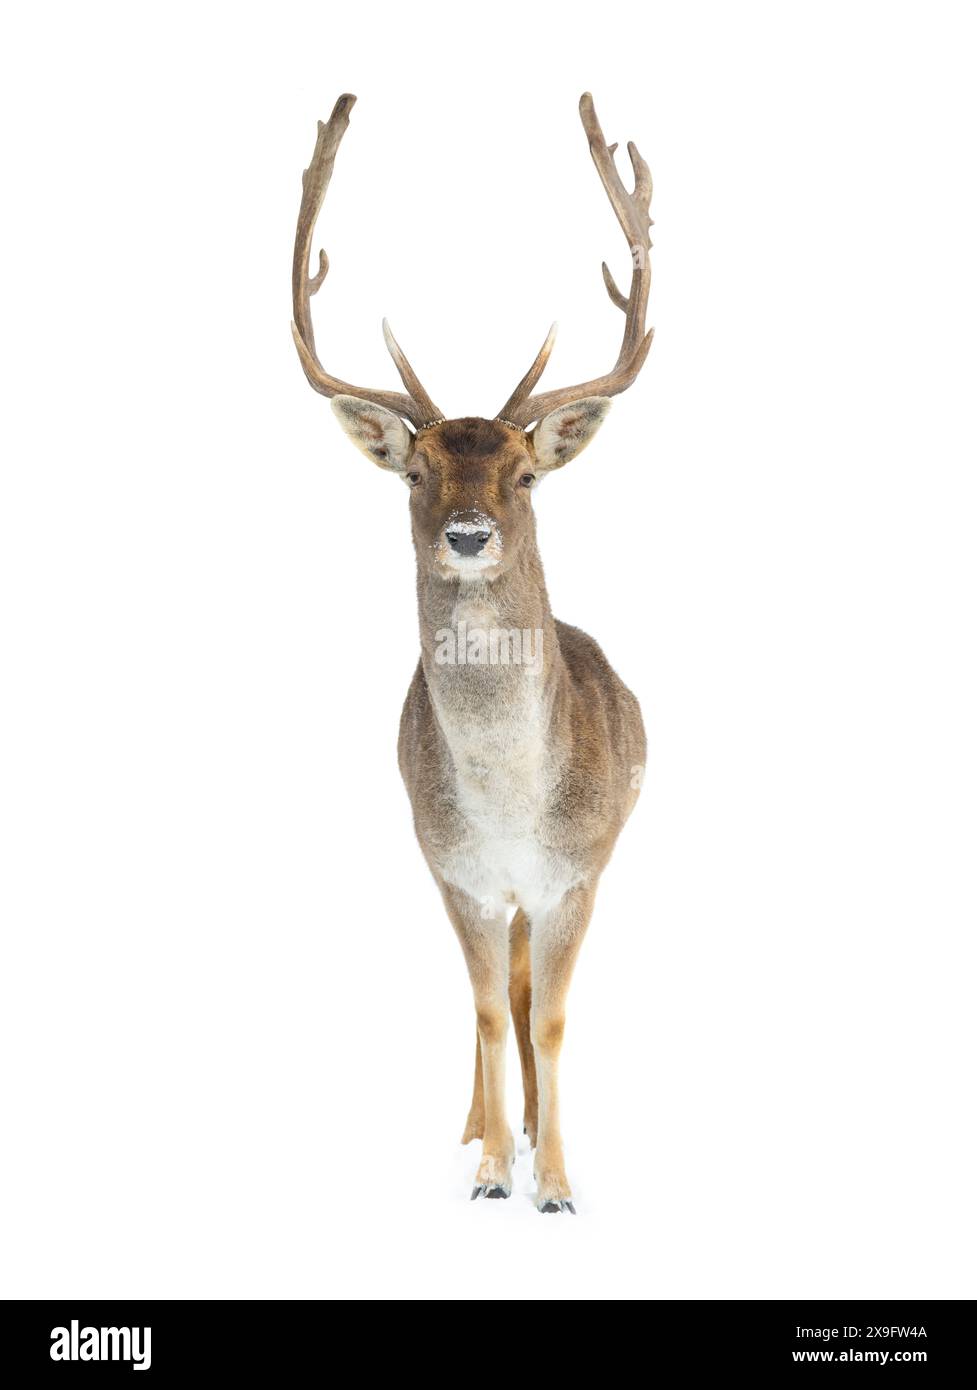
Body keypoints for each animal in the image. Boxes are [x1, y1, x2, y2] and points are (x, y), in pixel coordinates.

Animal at [291, 92, 653, 1213]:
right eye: (415, 474)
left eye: (526, 475)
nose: (465, 533)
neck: (506, 799)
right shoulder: (447, 864)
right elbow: (492, 1011)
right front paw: (493, 1168)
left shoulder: (578, 869)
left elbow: (548, 1014)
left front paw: (557, 1182)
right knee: (495, 992)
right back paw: (482, 1125)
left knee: (532, 984)